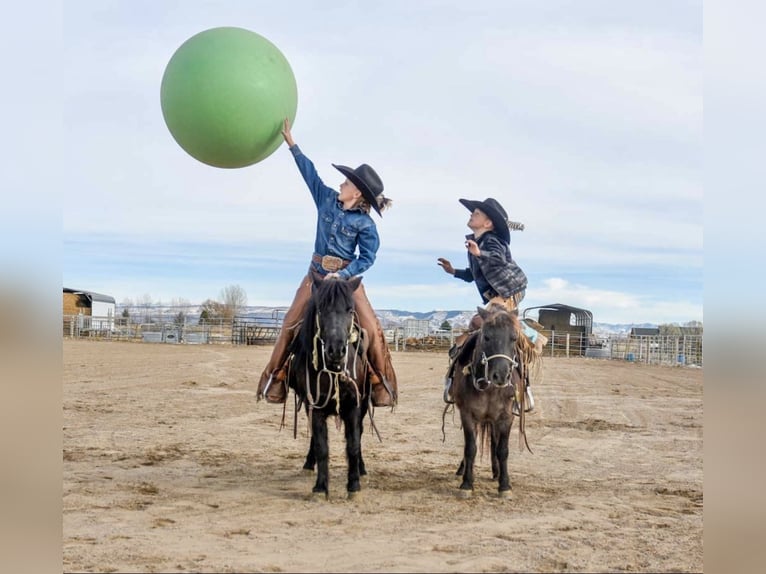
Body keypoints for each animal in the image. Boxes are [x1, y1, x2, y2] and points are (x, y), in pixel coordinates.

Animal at [286, 274, 374, 500]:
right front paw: (320, 487)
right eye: (320, 310)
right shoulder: (314, 406)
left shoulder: (354, 406)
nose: (336, 350)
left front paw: (354, 486)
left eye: (350, 310)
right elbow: (321, 446)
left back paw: (362, 469)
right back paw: (309, 465)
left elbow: (353, 444)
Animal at [452, 306, 532, 500]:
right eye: (487, 336)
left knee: (495, 443)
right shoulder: (467, 415)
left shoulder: (506, 417)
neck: (489, 388)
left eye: (514, 338)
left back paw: (496, 473)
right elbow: (470, 448)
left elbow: (502, 450)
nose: (501, 375)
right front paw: (467, 484)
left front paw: (505, 485)